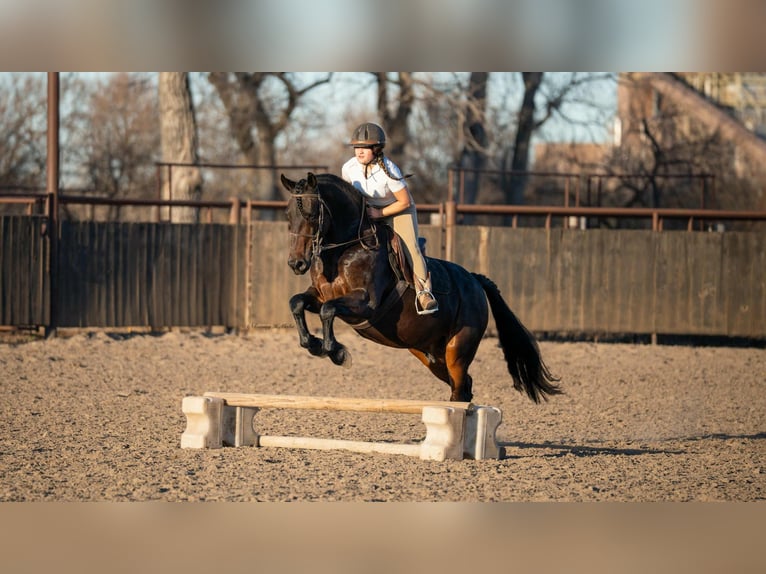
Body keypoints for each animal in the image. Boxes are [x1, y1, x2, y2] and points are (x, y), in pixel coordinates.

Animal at [280, 171, 561, 403]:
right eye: (288, 215)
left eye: (311, 213)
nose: (296, 263)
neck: (346, 250)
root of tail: (474, 280)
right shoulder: (318, 295)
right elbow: (297, 302)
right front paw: (312, 344)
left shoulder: (365, 303)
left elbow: (328, 310)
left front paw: (337, 352)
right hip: (429, 355)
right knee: (463, 386)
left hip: (457, 350)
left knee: (460, 387)